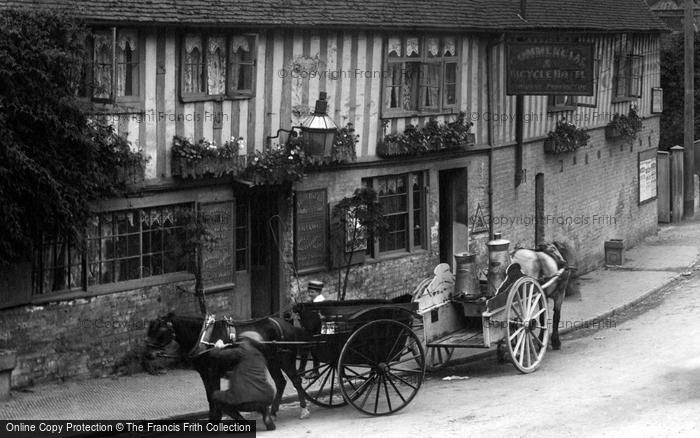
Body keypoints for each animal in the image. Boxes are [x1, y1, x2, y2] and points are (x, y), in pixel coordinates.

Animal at [146, 312, 312, 420]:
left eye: (160, 331)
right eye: (149, 330)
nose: (148, 354)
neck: (205, 338)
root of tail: (288, 325)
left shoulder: (212, 372)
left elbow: (214, 396)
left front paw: (217, 418)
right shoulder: (204, 373)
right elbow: (210, 397)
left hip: (286, 359)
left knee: (296, 381)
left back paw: (303, 409)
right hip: (273, 361)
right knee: (281, 382)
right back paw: (273, 411)